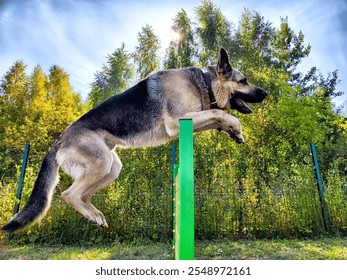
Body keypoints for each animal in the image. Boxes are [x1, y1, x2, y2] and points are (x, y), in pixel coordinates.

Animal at [2, 48, 268, 232]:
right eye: (244, 81)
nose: (266, 92)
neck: (204, 83)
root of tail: (58, 142)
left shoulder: (192, 119)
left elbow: (217, 116)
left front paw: (233, 131)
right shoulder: (177, 122)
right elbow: (221, 113)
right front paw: (236, 127)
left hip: (111, 168)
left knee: (83, 195)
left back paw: (95, 215)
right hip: (101, 163)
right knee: (69, 194)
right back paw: (92, 215)